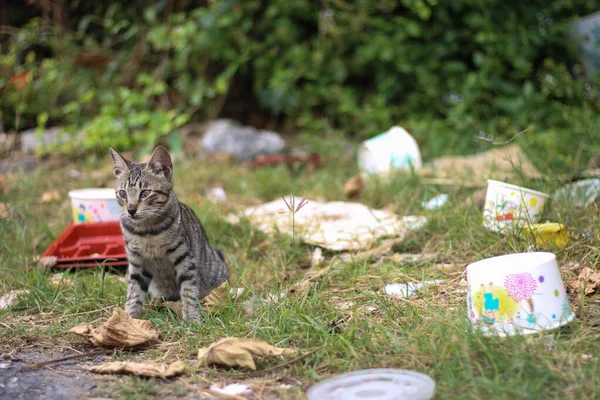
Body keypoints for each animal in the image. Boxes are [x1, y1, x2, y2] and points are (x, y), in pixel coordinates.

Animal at [109, 146, 229, 322]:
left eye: (145, 193)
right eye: (123, 193)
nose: (131, 209)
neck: (147, 232)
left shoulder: (184, 259)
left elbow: (188, 291)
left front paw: (192, 318)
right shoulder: (137, 263)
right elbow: (134, 294)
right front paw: (129, 319)